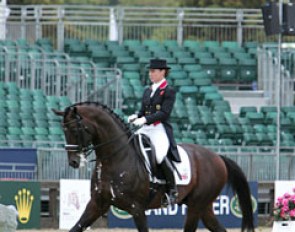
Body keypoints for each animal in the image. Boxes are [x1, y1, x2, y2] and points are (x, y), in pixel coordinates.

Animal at [53, 101, 256, 232]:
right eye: (64, 130)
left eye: (75, 129)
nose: (73, 162)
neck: (115, 159)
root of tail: (218, 157)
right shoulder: (97, 204)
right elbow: (75, 228)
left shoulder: (137, 209)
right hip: (203, 207)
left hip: (196, 206)